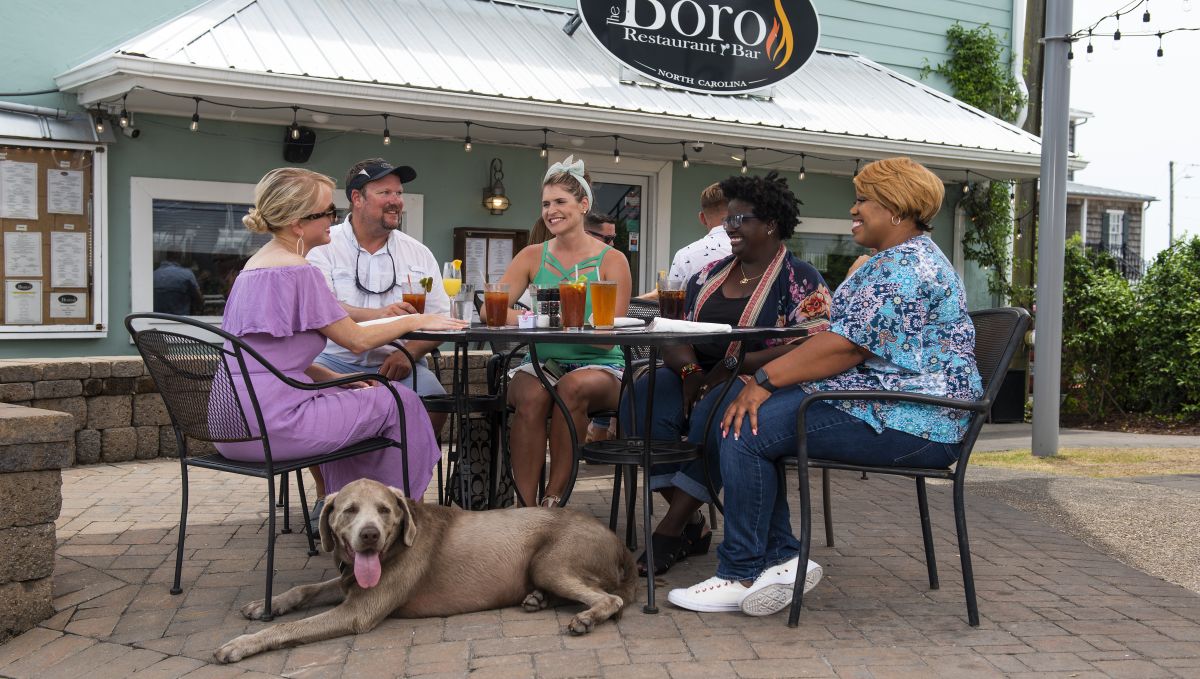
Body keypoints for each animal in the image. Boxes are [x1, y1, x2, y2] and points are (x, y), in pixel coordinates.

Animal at [214, 479, 638, 667]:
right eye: (349, 510)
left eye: (384, 510)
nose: (369, 535)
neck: (393, 547)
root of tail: (621, 545)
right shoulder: (351, 581)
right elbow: (304, 589)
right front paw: (264, 605)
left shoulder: (358, 612)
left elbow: (289, 628)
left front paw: (240, 644)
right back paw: (536, 599)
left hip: (549, 562)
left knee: (611, 598)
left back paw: (586, 617)